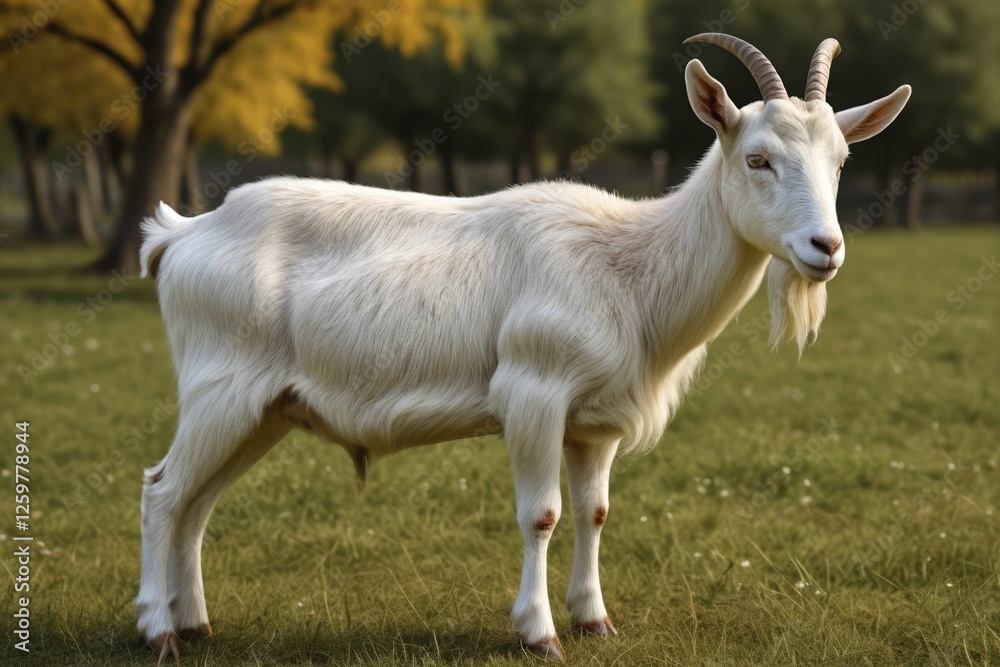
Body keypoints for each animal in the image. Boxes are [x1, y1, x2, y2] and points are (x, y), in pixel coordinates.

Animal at [136, 34, 910, 662]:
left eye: (842, 160)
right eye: (758, 158)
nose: (825, 247)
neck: (631, 268)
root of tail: (182, 233)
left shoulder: (595, 422)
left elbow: (595, 513)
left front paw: (596, 620)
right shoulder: (534, 393)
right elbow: (542, 514)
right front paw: (540, 634)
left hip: (264, 408)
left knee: (198, 504)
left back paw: (197, 624)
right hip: (221, 388)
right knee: (163, 490)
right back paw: (159, 630)